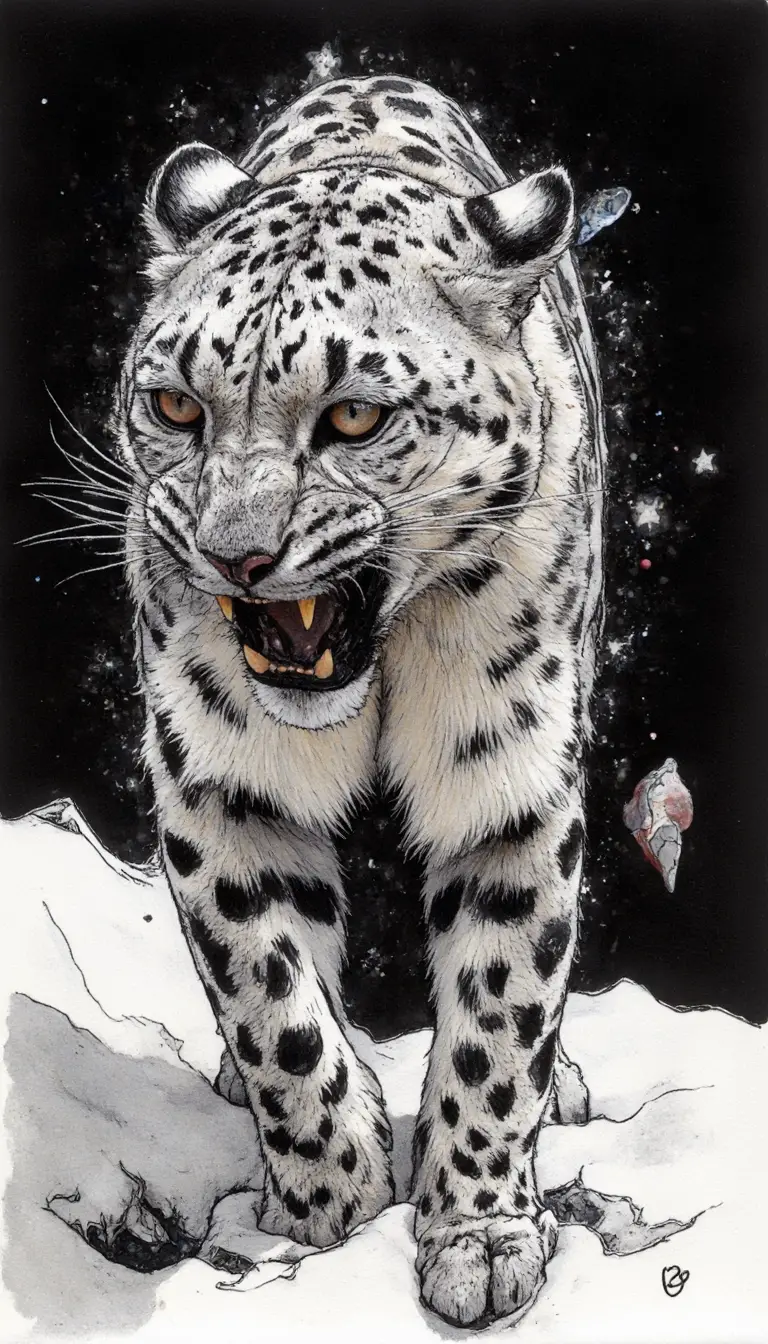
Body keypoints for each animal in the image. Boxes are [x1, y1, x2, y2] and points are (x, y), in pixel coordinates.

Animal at [115, 72, 605, 1328]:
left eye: (352, 416)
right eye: (175, 407)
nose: (236, 555)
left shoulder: (511, 787)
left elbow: (500, 1014)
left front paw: (479, 1237)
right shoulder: (220, 780)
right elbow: (273, 997)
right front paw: (332, 1192)